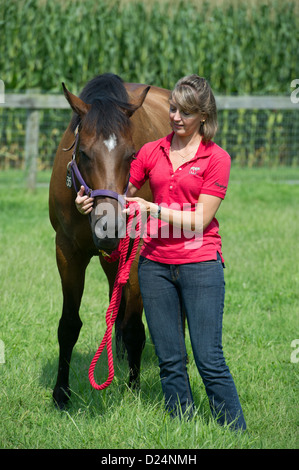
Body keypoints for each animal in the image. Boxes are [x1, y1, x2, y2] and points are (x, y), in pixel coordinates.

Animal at [49, 72, 171, 408]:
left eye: (132, 155)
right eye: (83, 153)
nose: (110, 227)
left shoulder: (136, 251)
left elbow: (134, 327)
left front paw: (133, 387)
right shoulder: (67, 252)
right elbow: (69, 325)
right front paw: (61, 393)